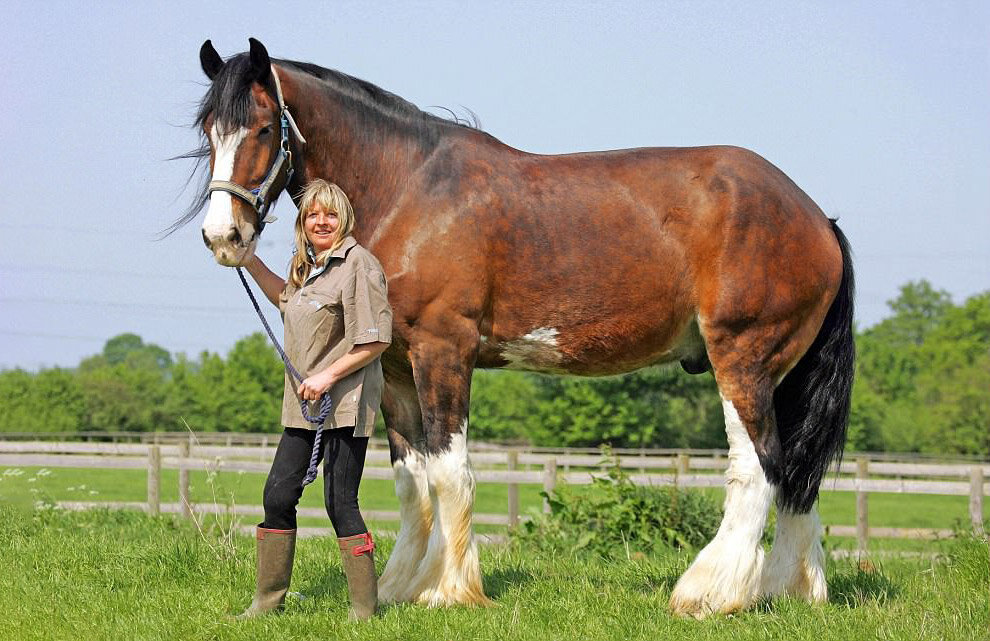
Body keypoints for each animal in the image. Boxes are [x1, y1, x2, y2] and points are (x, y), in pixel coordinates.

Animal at [186, 37, 852, 616]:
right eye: (207, 130)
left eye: (263, 127)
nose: (223, 238)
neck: (409, 188)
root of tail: (816, 216)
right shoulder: (395, 366)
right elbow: (411, 481)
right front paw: (400, 586)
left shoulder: (443, 351)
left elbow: (450, 471)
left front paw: (450, 590)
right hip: (780, 374)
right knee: (795, 474)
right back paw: (791, 590)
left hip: (742, 358)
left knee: (757, 467)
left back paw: (709, 593)